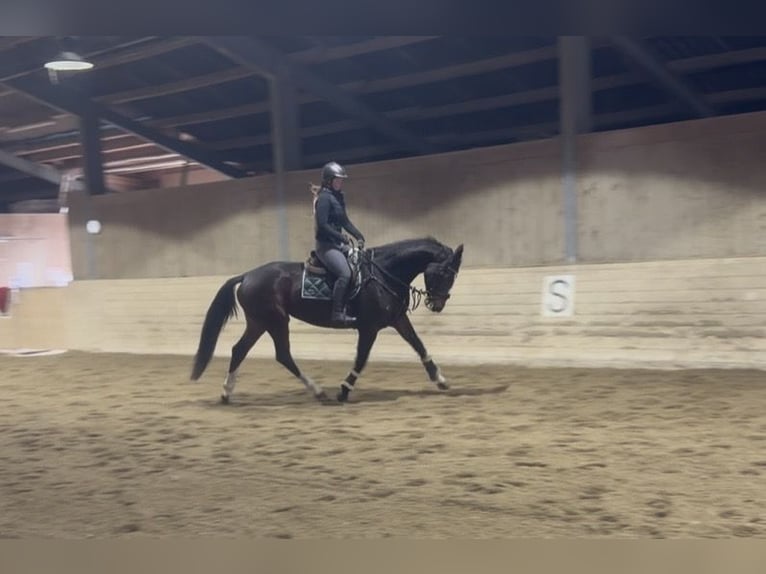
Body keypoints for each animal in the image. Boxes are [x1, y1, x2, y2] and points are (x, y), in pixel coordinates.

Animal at [190, 236, 464, 403]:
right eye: (444, 273)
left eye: (452, 275)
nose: (437, 304)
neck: (383, 273)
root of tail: (246, 275)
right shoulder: (369, 327)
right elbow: (362, 358)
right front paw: (344, 390)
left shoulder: (397, 319)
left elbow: (418, 345)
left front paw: (440, 380)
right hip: (275, 321)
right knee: (282, 354)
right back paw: (318, 391)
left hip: (259, 323)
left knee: (241, 350)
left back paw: (227, 394)